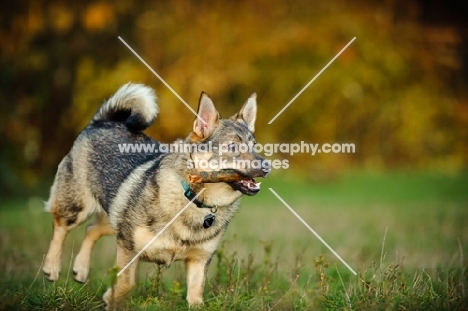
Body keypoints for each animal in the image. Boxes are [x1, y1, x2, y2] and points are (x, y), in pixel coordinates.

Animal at [42, 83, 268, 310]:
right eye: (232, 147)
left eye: (255, 146)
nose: (267, 165)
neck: (195, 201)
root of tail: (103, 122)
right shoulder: (128, 248)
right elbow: (125, 284)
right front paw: (109, 300)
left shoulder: (199, 261)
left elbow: (196, 297)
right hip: (77, 207)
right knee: (60, 227)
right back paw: (51, 267)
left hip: (114, 214)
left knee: (91, 229)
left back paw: (80, 269)